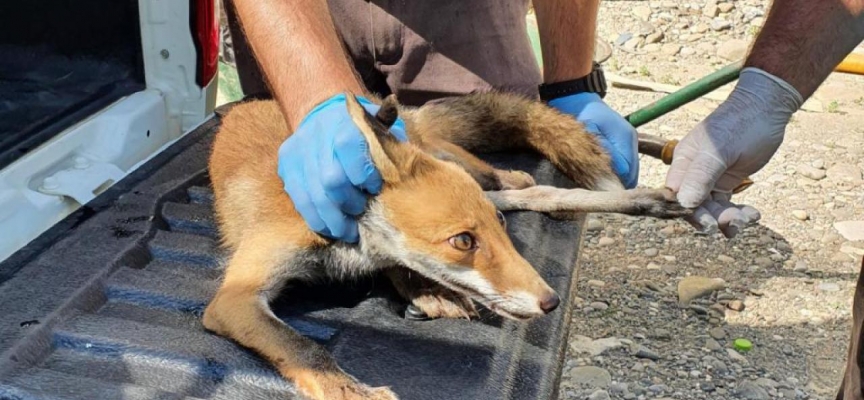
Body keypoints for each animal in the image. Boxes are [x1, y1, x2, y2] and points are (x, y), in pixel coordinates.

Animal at [202, 91, 688, 400]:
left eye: (497, 230)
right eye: (463, 241)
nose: (551, 301)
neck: (348, 242)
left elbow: (400, 267)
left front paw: (424, 287)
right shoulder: (236, 298)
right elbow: (305, 348)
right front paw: (350, 390)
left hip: (461, 165)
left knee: (531, 190)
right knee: (540, 195)